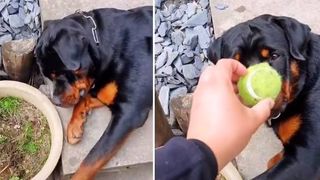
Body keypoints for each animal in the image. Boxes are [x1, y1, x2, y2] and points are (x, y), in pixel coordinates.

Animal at [35, 6, 152, 179]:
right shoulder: (103, 88)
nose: (55, 100)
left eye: (60, 73)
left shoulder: (130, 113)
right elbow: (85, 98)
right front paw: (74, 126)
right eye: (49, 76)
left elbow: (92, 159)